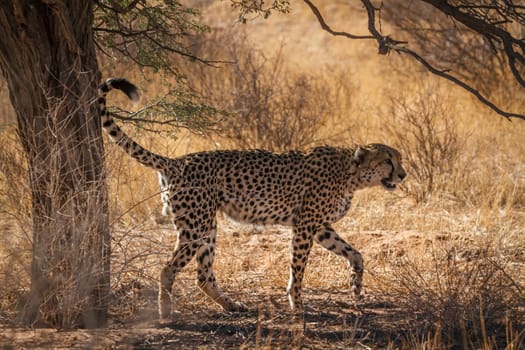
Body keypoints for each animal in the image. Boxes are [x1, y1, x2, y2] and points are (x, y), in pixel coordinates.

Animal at [99, 78, 410, 318]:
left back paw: (231, 305)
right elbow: (298, 269)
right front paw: (297, 304)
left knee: (203, 275)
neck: (350, 173)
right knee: (167, 268)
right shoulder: (305, 226)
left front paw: (355, 285)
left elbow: (355, 253)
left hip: (207, 227)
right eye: (388, 160)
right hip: (196, 227)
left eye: (399, 158)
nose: (403, 175)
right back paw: (166, 312)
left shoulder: (320, 227)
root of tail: (177, 161)